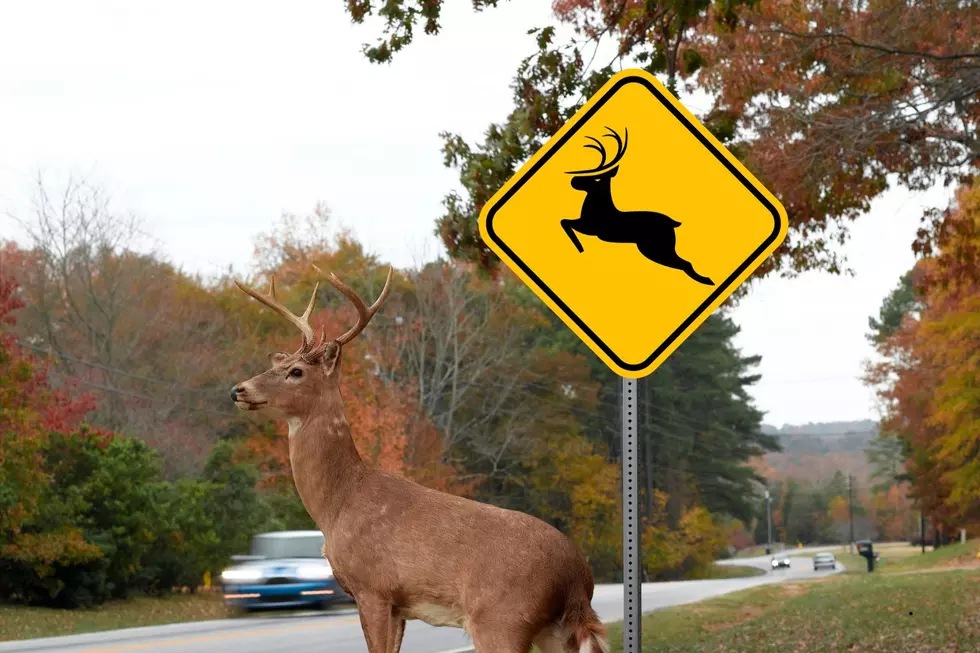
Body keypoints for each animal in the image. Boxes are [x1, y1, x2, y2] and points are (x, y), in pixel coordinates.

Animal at [229, 266, 609, 653]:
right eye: (280, 364)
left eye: (297, 372)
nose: (239, 390)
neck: (338, 503)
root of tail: (578, 577)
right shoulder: (399, 606)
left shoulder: (373, 588)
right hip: (554, 631)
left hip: (502, 618)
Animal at [559, 126, 715, 286]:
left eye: (597, 178)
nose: (574, 180)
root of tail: (674, 223)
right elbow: (564, 221)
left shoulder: (591, 228)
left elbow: (564, 222)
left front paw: (580, 247)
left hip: (656, 248)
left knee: (685, 264)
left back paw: (707, 281)